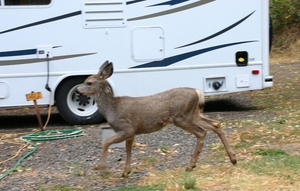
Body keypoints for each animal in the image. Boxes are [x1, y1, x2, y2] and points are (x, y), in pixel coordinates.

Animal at [77, 60, 237, 178]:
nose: (78, 90)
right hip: (193, 114)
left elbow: (106, 142)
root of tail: (198, 92)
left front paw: (101, 167)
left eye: (89, 82)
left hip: (181, 117)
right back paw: (233, 158)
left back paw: (190, 166)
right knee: (215, 124)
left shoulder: (126, 128)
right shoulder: (131, 133)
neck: (112, 109)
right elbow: (128, 149)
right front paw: (125, 172)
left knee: (202, 132)